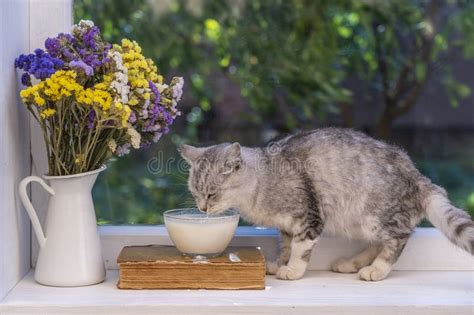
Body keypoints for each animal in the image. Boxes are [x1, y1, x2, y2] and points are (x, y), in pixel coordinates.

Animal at [179, 128, 474, 282]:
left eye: (212, 194)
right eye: (195, 193)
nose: (202, 209)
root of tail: (418, 176)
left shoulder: (308, 217)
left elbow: (300, 250)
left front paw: (292, 270)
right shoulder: (286, 226)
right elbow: (286, 247)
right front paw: (278, 264)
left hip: (376, 215)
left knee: (397, 240)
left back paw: (376, 269)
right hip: (362, 223)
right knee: (379, 243)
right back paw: (352, 263)